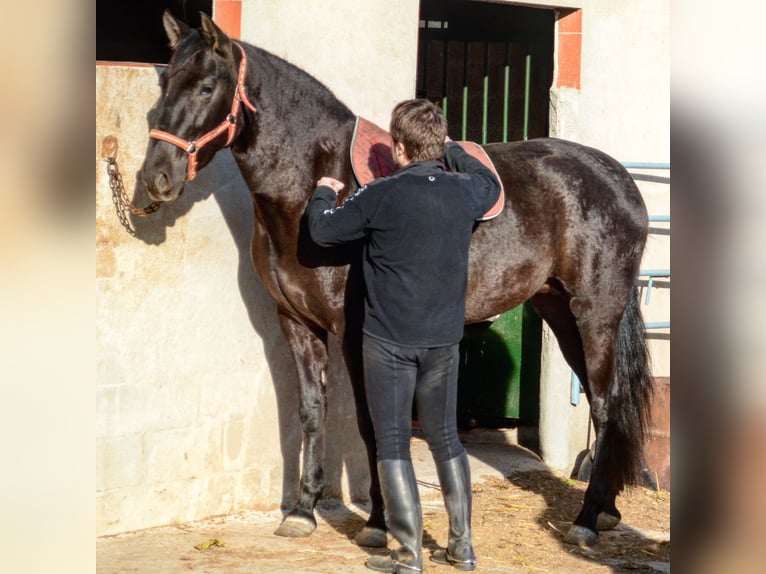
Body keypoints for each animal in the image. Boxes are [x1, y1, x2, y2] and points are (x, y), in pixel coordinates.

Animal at [140, 11, 656, 552]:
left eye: (206, 86)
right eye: (164, 82)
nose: (156, 177)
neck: (312, 186)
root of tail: (616, 177)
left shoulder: (355, 331)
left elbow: (371, 421)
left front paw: (377, 522)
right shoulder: (296, 322)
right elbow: (312, 412)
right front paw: (302, 511)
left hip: (596, 313)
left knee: (607, 404)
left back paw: (586, 519)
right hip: (558, 309)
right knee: (605, 404)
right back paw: (608, 511)